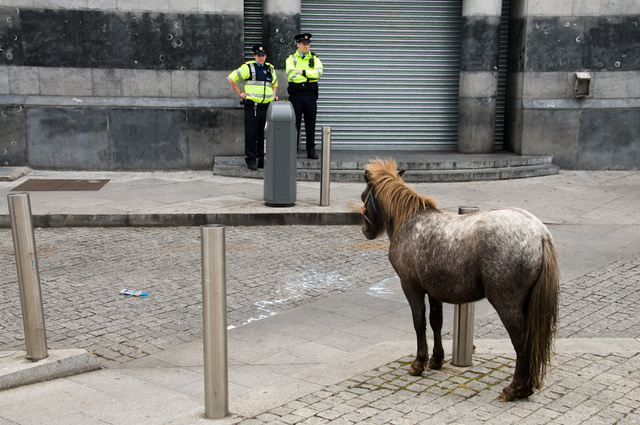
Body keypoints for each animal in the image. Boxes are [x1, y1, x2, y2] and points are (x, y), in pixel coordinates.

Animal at [360, 158, 559, 402]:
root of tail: (540, 234)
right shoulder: (433, 290)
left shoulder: (411, 286)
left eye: (364, 197)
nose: (366, 231)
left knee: (521, 341)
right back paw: (526, 387)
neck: (409, 222)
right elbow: (436, 322)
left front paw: (418, 363)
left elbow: (419, 322)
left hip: (507, 303)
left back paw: (514, 388)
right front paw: (436, 359)